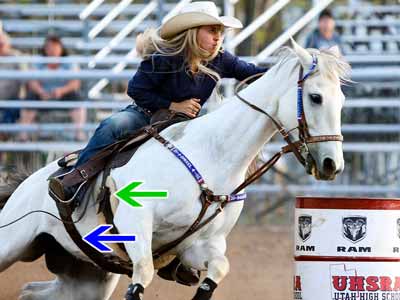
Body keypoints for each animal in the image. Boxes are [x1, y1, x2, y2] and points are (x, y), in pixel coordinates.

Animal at [0, 41, 350, 300]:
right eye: (315, 97)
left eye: (342, 100)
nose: (332, 165)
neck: (211, 154)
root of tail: (27, 185)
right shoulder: (136, 224)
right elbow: (141, 276)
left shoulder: (198, 245)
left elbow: (217, 270)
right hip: (11, 244)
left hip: (87, 276)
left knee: (30, 291)